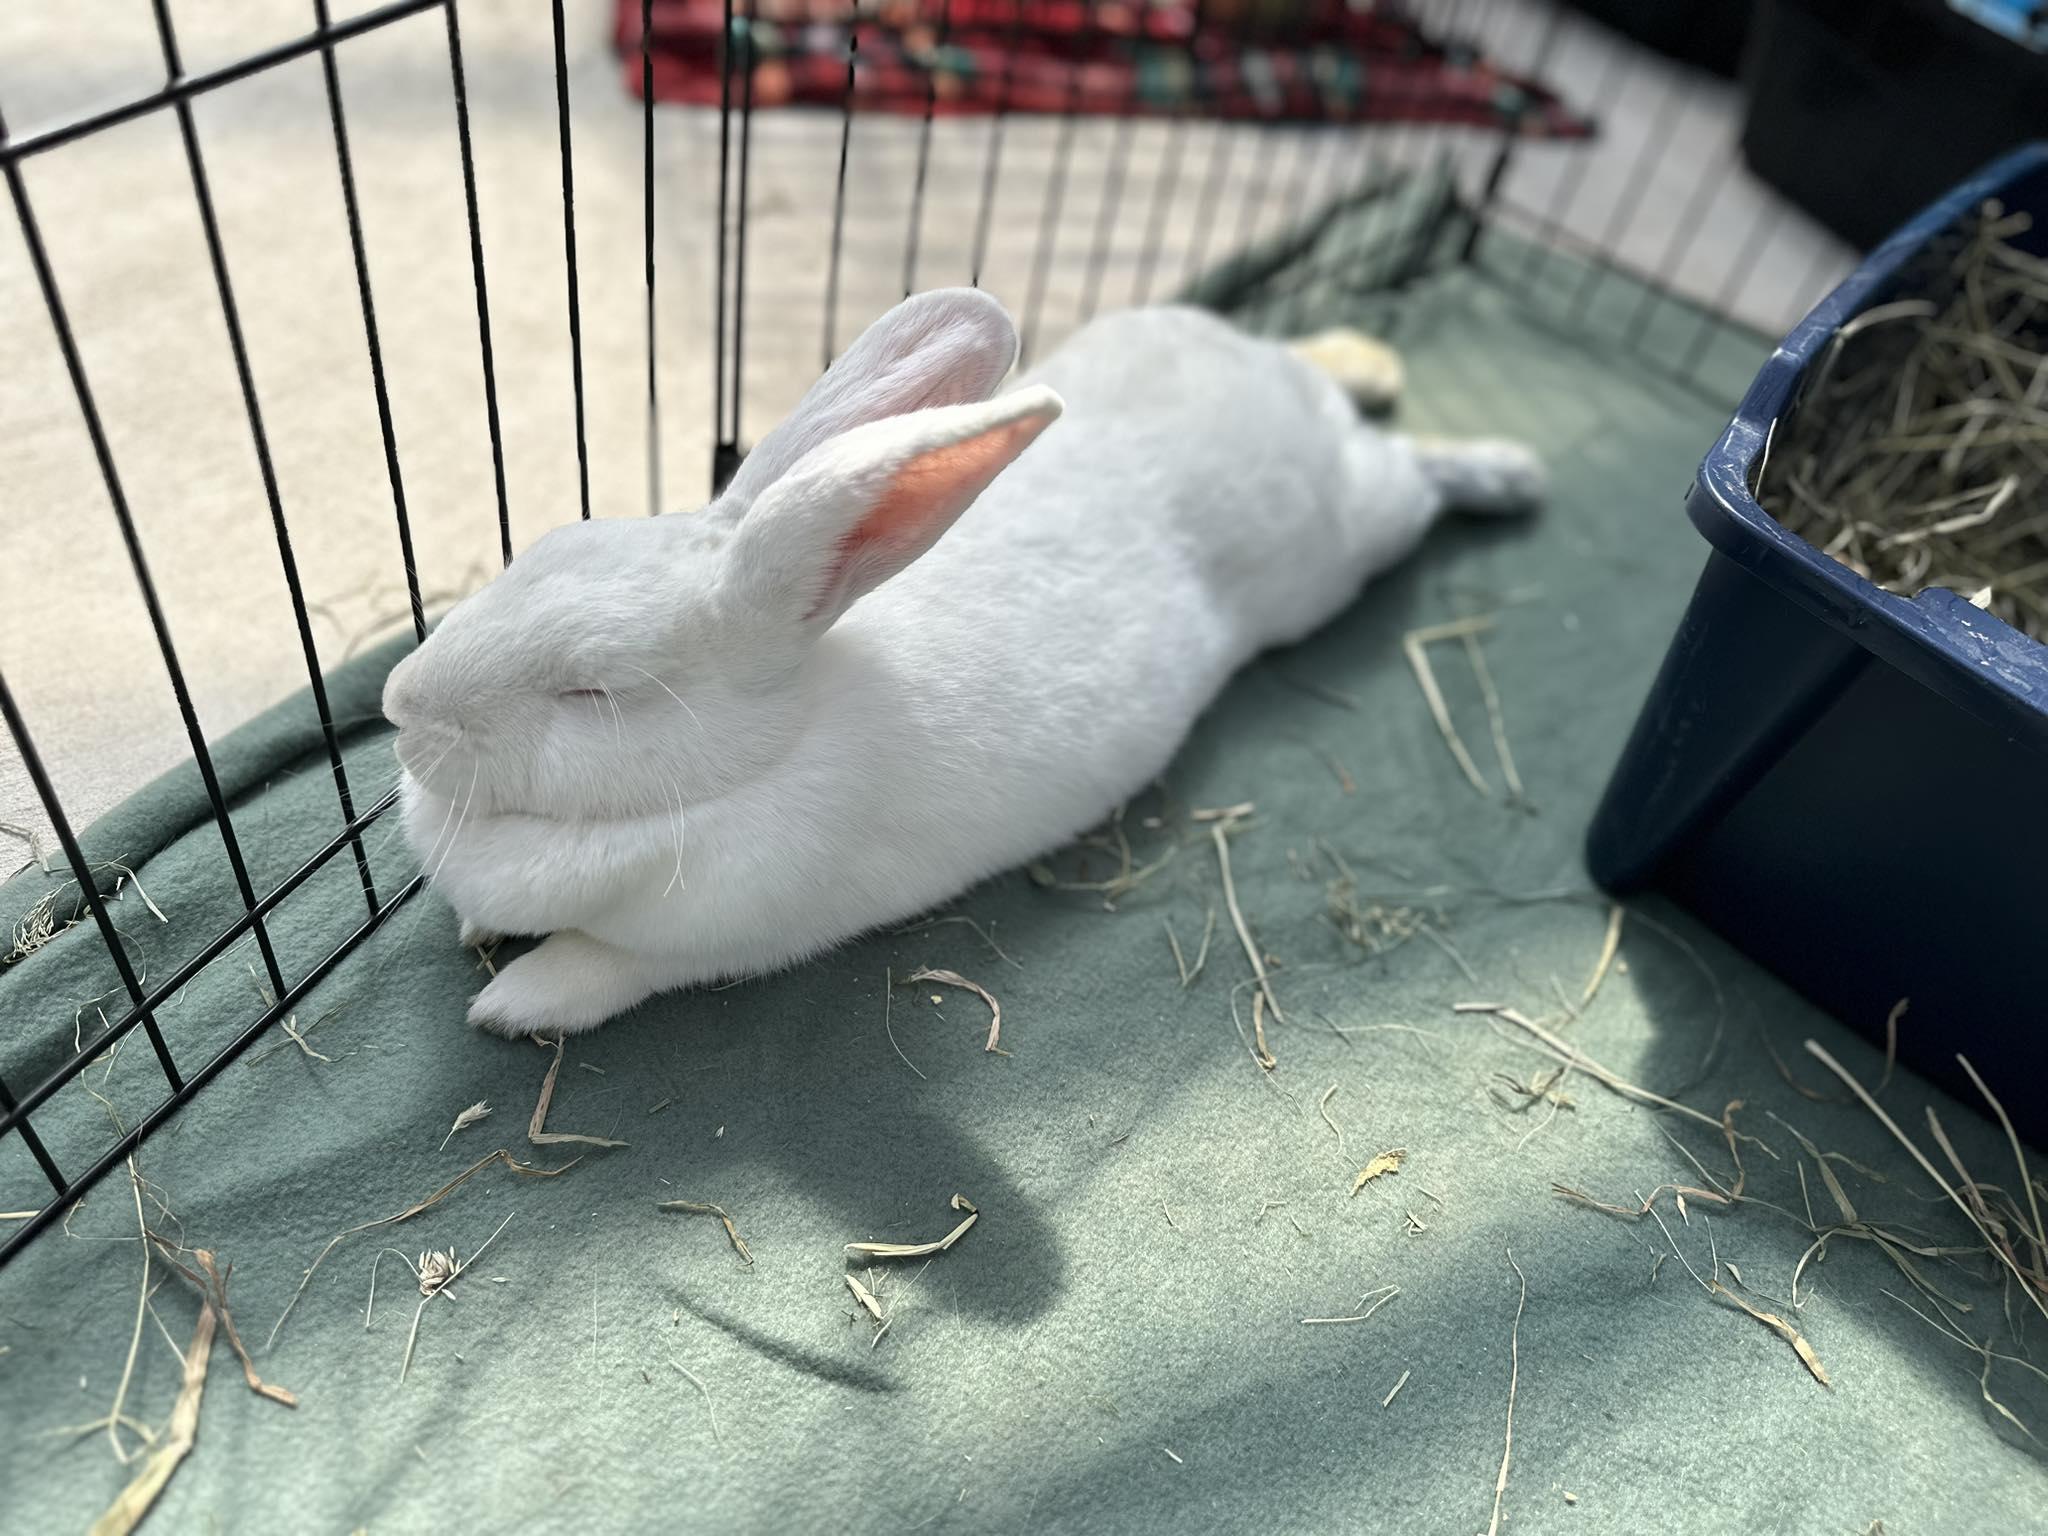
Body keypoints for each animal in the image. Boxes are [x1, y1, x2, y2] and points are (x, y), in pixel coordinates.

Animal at [382, 289, 1542, 1036]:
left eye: (595, 691)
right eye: (534, 553)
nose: (397, 704)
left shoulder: (709, 940)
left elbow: (600, 966)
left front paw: (506, 1004)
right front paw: (479, 924)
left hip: (1344, 542)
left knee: (1413, 474)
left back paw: (1509, 470)